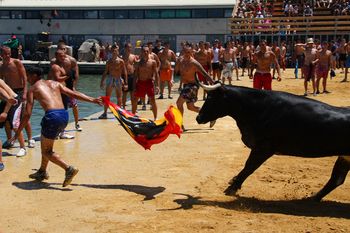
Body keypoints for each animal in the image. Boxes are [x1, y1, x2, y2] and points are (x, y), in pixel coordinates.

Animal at [196, 83, 350, 200]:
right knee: (337, 179)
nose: (198, 118)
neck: (257, 107)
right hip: (345, 157)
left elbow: (248, 167)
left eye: (212, 99)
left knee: (337, 179)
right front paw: (233, 182)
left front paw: (232, 188)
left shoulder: (263, 148)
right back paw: (313, 198)